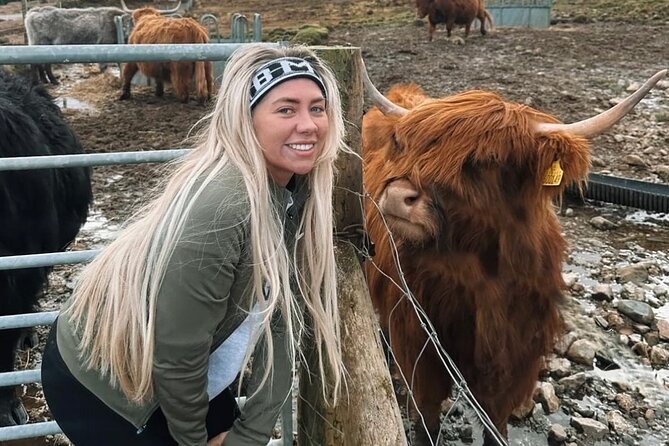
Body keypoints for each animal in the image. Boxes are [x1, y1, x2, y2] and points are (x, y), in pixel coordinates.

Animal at [23, 2, 180, 85]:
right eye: (135, 21)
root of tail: (34, 11)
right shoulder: (106, 45)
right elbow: (106, 66)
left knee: (42, 64)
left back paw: (46, 80)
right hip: (41, 43)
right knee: (37, 64)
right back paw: (45, 81)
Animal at [361, 68, 666, 445]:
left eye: (483, 161)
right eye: (403, 145)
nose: (396, 196)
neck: (481, 278)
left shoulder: (514, 359)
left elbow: (495, 424)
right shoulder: (420, 343)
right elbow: (427, 419)